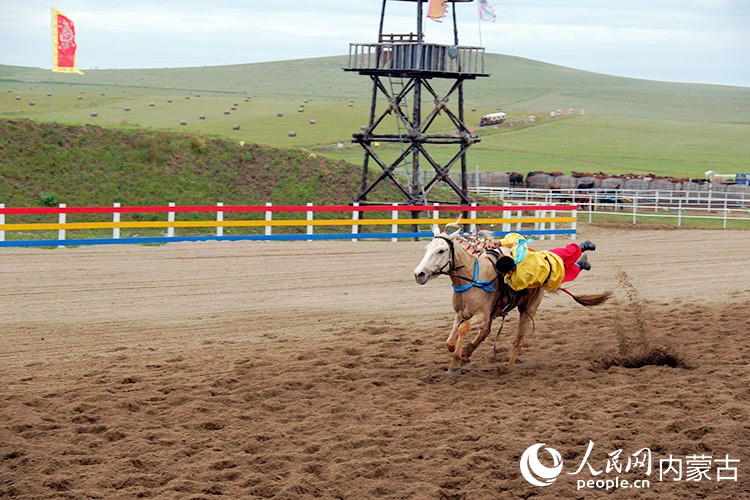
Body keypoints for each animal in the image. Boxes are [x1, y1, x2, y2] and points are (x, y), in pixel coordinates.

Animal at [413, 225, 611, 374]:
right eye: (427, 249)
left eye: (441, 250)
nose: (419, 274)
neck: (474, 277)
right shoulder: (461, 313)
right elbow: (450, 341)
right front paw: (460, 354)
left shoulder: (481, 315)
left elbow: (464, 329)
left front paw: (455, 363)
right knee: (487, 332)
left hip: (530, 306)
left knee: (518, 340)